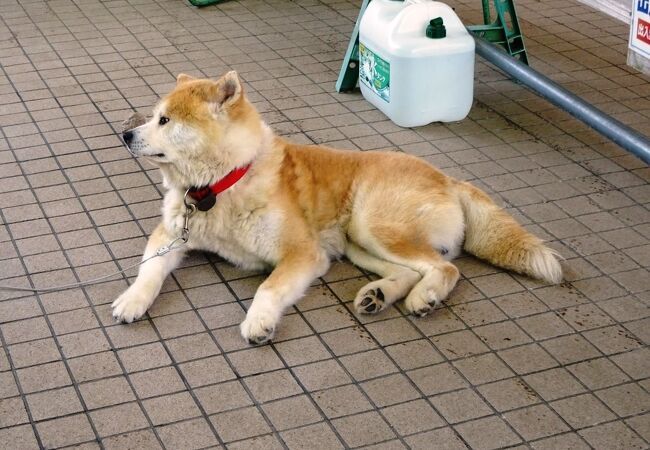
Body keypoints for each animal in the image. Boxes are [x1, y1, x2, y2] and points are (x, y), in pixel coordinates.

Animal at [114, 71, 560, 344]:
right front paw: (133, 299)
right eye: (153, 116)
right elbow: (150, 270)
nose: (125, 135)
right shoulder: (173, 234)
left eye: (165, 120)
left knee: (444, 269)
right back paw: (377, 295)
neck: (223, 185)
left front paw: (259, 321)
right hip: (358, 242)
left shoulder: (302, 254)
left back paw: (425, 297)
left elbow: (267, 287)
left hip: (373, 225)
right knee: (408, 271)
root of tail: (449, 178)